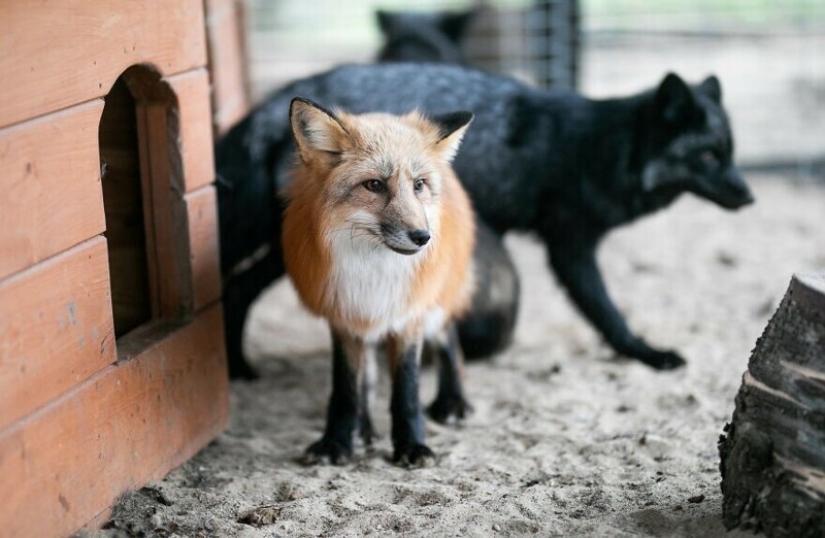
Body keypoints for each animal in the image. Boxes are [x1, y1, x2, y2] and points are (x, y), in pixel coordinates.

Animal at [281, 98, 476, 466]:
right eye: (374, 185)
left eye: (419, 185)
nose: (422, 237)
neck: (374, 271)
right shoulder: (344, 315)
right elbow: (346, 390)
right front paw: (336, 442)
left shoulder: (410, 316)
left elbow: (407, 391)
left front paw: (412, 446)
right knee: (367, 377)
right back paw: (363, 427)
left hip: (435, 306)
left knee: (450, 339)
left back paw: (454, 401)